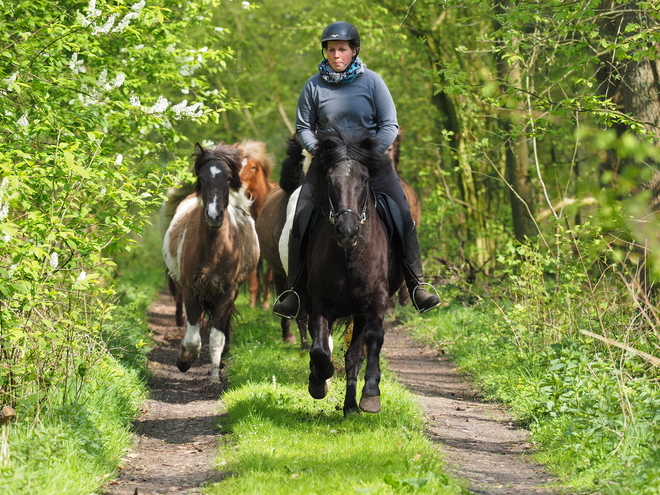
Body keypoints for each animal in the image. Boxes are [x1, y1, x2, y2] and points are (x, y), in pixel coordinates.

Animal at [162, 142, 260, 384]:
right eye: (202, 177)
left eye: (228, 178)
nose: (214, 216)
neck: (214, 250)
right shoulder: (191, 288)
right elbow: (192, 338)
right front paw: (184, 360)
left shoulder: (227, 291)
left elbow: (217, 337)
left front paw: (215, 374)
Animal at [302, 126, 404, 416]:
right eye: (329, 179)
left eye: (365, 179)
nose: (347, 231)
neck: (349, 255)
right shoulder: (320, 302)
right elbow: (320, 349)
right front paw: (319, 378)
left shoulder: (375, 299)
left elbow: (374, 339)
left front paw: (370, 394)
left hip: (359, 312)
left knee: (354, 356)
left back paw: (351, 406)